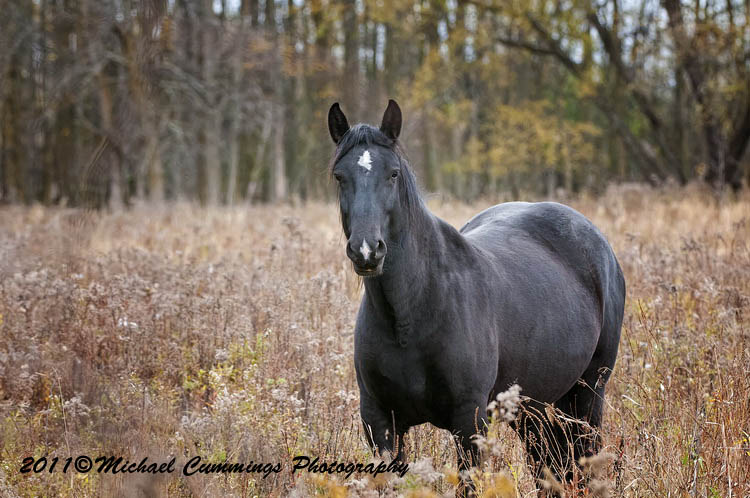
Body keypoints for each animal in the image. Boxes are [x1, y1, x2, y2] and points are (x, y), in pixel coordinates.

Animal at [327, 99, 625, 494]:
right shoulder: (379, 422)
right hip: (533, 407)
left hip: (588, 393)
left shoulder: (469, 422)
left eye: (392, 174)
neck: (411, 314)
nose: (366, 251)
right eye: (339, 176)